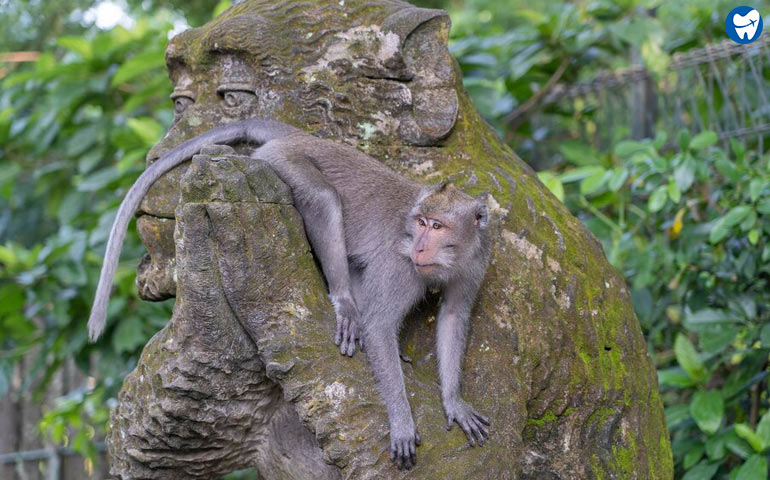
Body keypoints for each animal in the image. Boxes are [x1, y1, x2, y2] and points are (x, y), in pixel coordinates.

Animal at [85, 118, 492, 470]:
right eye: (420, 223)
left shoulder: (476, 262)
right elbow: (378, 327)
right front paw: (402, 420)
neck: (448, 258)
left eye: (436, 226)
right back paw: (345, 302)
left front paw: (454, 402)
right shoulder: (401, 268)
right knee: (324, 199)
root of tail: (302, 137)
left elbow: (453, 317)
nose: (419, 246)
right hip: (282, 163)